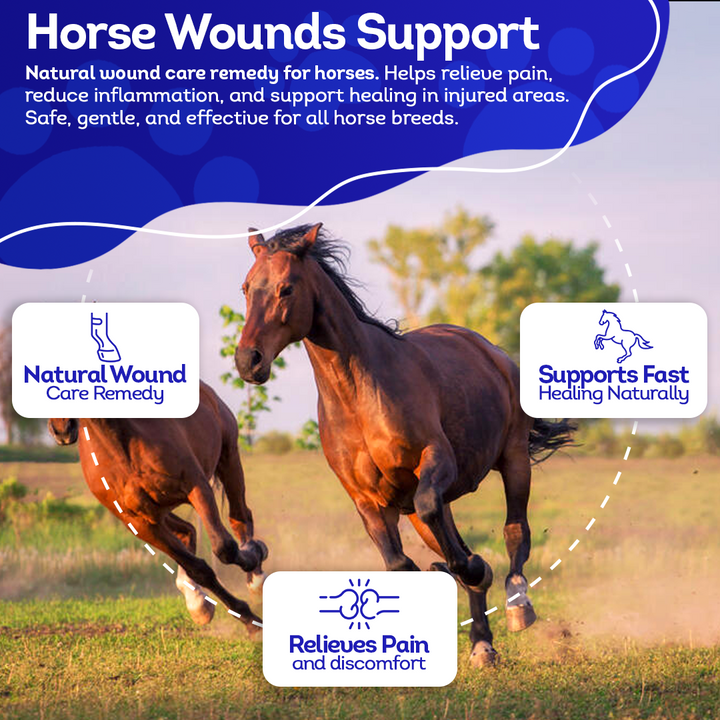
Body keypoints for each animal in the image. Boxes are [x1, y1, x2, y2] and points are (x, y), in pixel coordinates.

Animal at [48, 381, 267, 636]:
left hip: (228, 456)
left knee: (240, 516)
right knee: (188, 530)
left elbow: (224, 548)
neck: (121, 447)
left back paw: (256, 576)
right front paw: (248, 620)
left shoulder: (197, 486)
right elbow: (198, 568)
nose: (62, 429)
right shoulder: (141, 523)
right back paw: (197, 602)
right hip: (161, 511)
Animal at [235, 223, 574, 666]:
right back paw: (482, 643)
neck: (359, 395)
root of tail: (492, 352)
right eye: (246, 288)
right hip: (419, 511)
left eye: (286, 288)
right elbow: (399, 563)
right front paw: (452, 573)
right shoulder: (367, 498)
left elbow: (457, 536)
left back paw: (517, 603)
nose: (248, 361)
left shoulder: (436, 460)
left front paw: (473, 569)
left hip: (514, 459)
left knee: (516, 530)